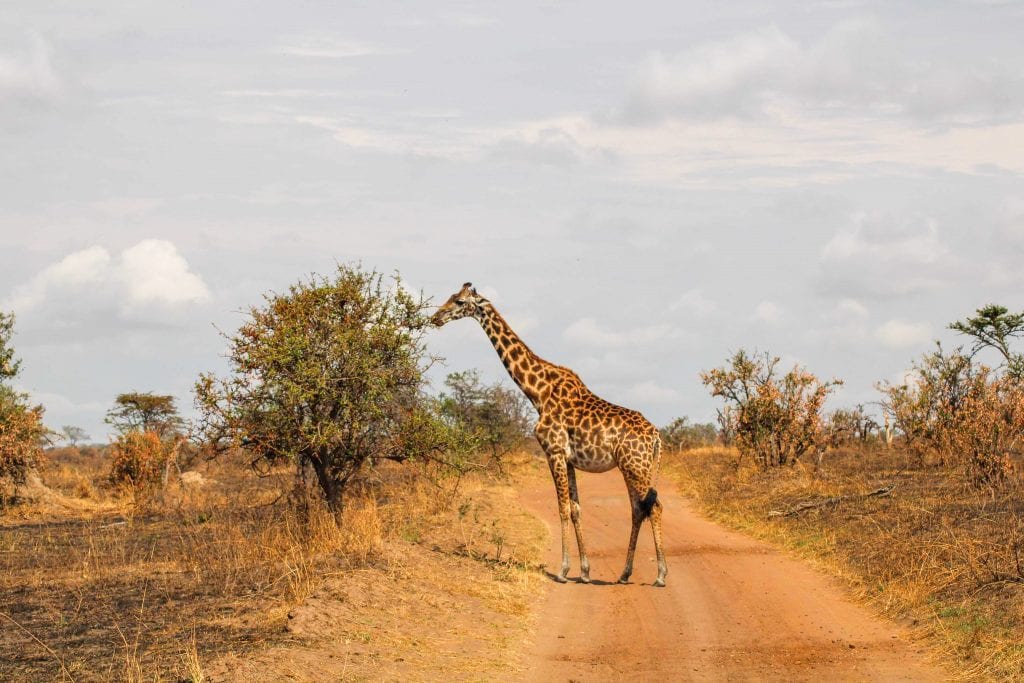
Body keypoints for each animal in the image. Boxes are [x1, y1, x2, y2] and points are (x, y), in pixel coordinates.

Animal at [431, 283, 668, 587]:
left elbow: (563, 508)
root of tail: (656, 436)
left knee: (654, 507)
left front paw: (564, 571)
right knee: (639, 509)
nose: (435, 318)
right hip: (637, 467)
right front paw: (585, 572)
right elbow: (576, 509)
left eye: (459, 302)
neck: (538, 392)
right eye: (450, 297)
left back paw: (660, 575)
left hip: (634, 466)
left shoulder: (553, 451)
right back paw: (625, 573)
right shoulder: (568, 458)